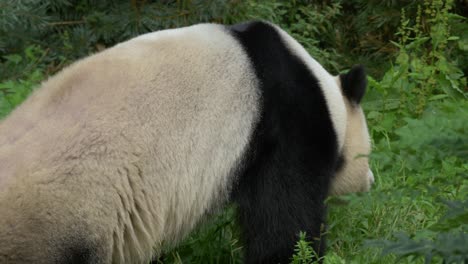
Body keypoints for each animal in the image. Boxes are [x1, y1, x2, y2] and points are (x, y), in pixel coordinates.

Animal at [0, 21, 372, 264]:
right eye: (367, 155)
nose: (370, 181)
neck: (325, 94)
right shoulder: (287, 121)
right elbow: (286, 216)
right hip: (62, 214)